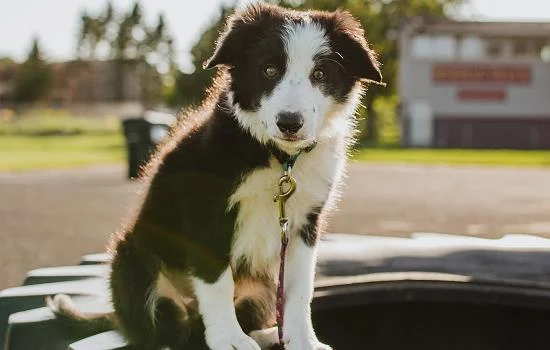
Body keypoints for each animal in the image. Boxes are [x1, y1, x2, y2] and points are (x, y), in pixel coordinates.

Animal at [48, 3, 384, 350]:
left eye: (320, 74)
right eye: (269, 70)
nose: (290, 123)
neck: (279, 158)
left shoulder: (304, 222)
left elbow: (299, 288)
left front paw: (303, 339)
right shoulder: (206, 213)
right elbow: (217, 281)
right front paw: (229, 339)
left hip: (259, 283)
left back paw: (265, 334)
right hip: (134, 257)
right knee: (174, 331)